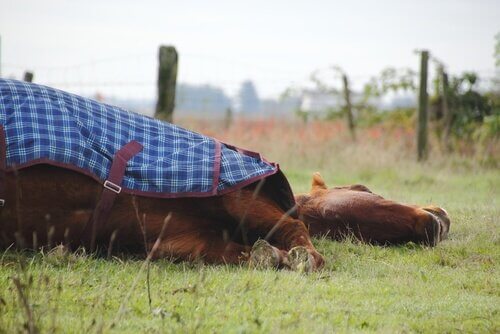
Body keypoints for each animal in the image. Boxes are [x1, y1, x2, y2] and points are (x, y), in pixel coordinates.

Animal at [0, 80, 450, 272]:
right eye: (363, 187)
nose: (437, 222)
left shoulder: (179, 240)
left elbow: (238, 251)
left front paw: (273, 257)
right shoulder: (239, 196)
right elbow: (297, 232)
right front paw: (297, 257)